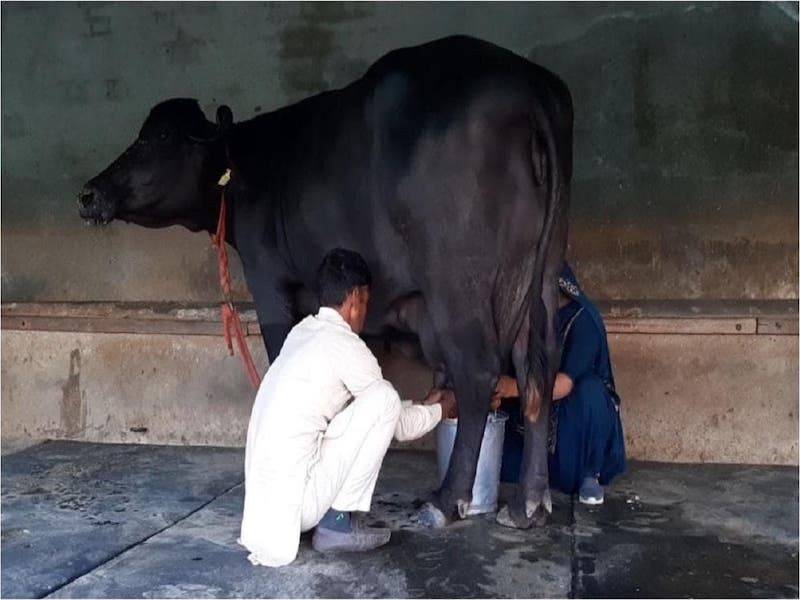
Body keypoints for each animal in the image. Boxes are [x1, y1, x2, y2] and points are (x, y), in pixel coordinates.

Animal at [79, 35, 568, 528]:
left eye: (157, 137)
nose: (88, 193)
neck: (250, 166)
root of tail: (528, 86)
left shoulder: (269, 280)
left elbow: (281, 355)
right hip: (540, 276)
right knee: (539, 369)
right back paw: (529, 502)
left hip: (457, 283)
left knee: (479, 370)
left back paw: (448, 499)